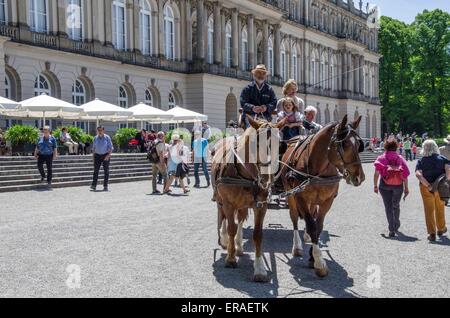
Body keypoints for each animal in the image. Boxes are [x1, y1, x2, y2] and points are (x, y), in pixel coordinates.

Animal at [212, 115, 288, 282]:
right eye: (256, 143)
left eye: (279, 145)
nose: (267, 178)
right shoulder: (228, 203)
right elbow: (231, 228)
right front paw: (230, 258)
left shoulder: (260, 205)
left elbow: (257, 235)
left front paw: (259, 269)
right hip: (220, 199)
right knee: (223, 217)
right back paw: (225, 240)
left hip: (243, 204)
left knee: (240, 219)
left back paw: (239, 246)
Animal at [282, 115, 366, 278]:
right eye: (345, 144)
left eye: (359, 144)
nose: (360, 177)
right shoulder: (300, 197)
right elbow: (311, 225)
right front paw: (319, 263)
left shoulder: (327, 201)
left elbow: (318, 226)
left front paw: (312, 257)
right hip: (291, 194)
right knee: (294, 217)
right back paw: (297, 246)